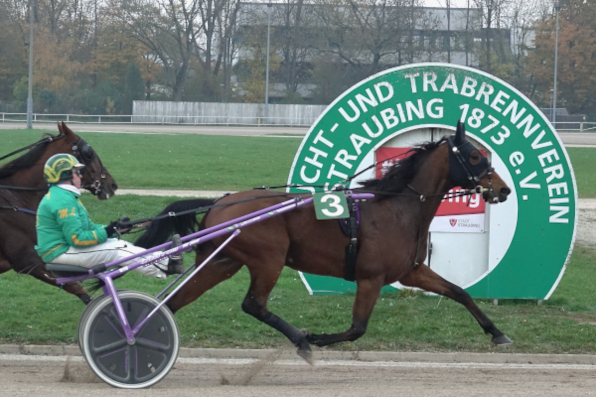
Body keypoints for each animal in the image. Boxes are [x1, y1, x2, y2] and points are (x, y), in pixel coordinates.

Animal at [139, 122, 512, 360]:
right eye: (476, 157)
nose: (504, 188)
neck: (398, 207)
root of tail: (219, 202)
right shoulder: (371, 277)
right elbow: (357, 328)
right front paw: (315, 338)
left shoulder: (412, 272)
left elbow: (460, 292)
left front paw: (497, 333)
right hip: (269, 259)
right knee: (253, 304)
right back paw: (300, 340)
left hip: (221, 261)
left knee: (174, 302)